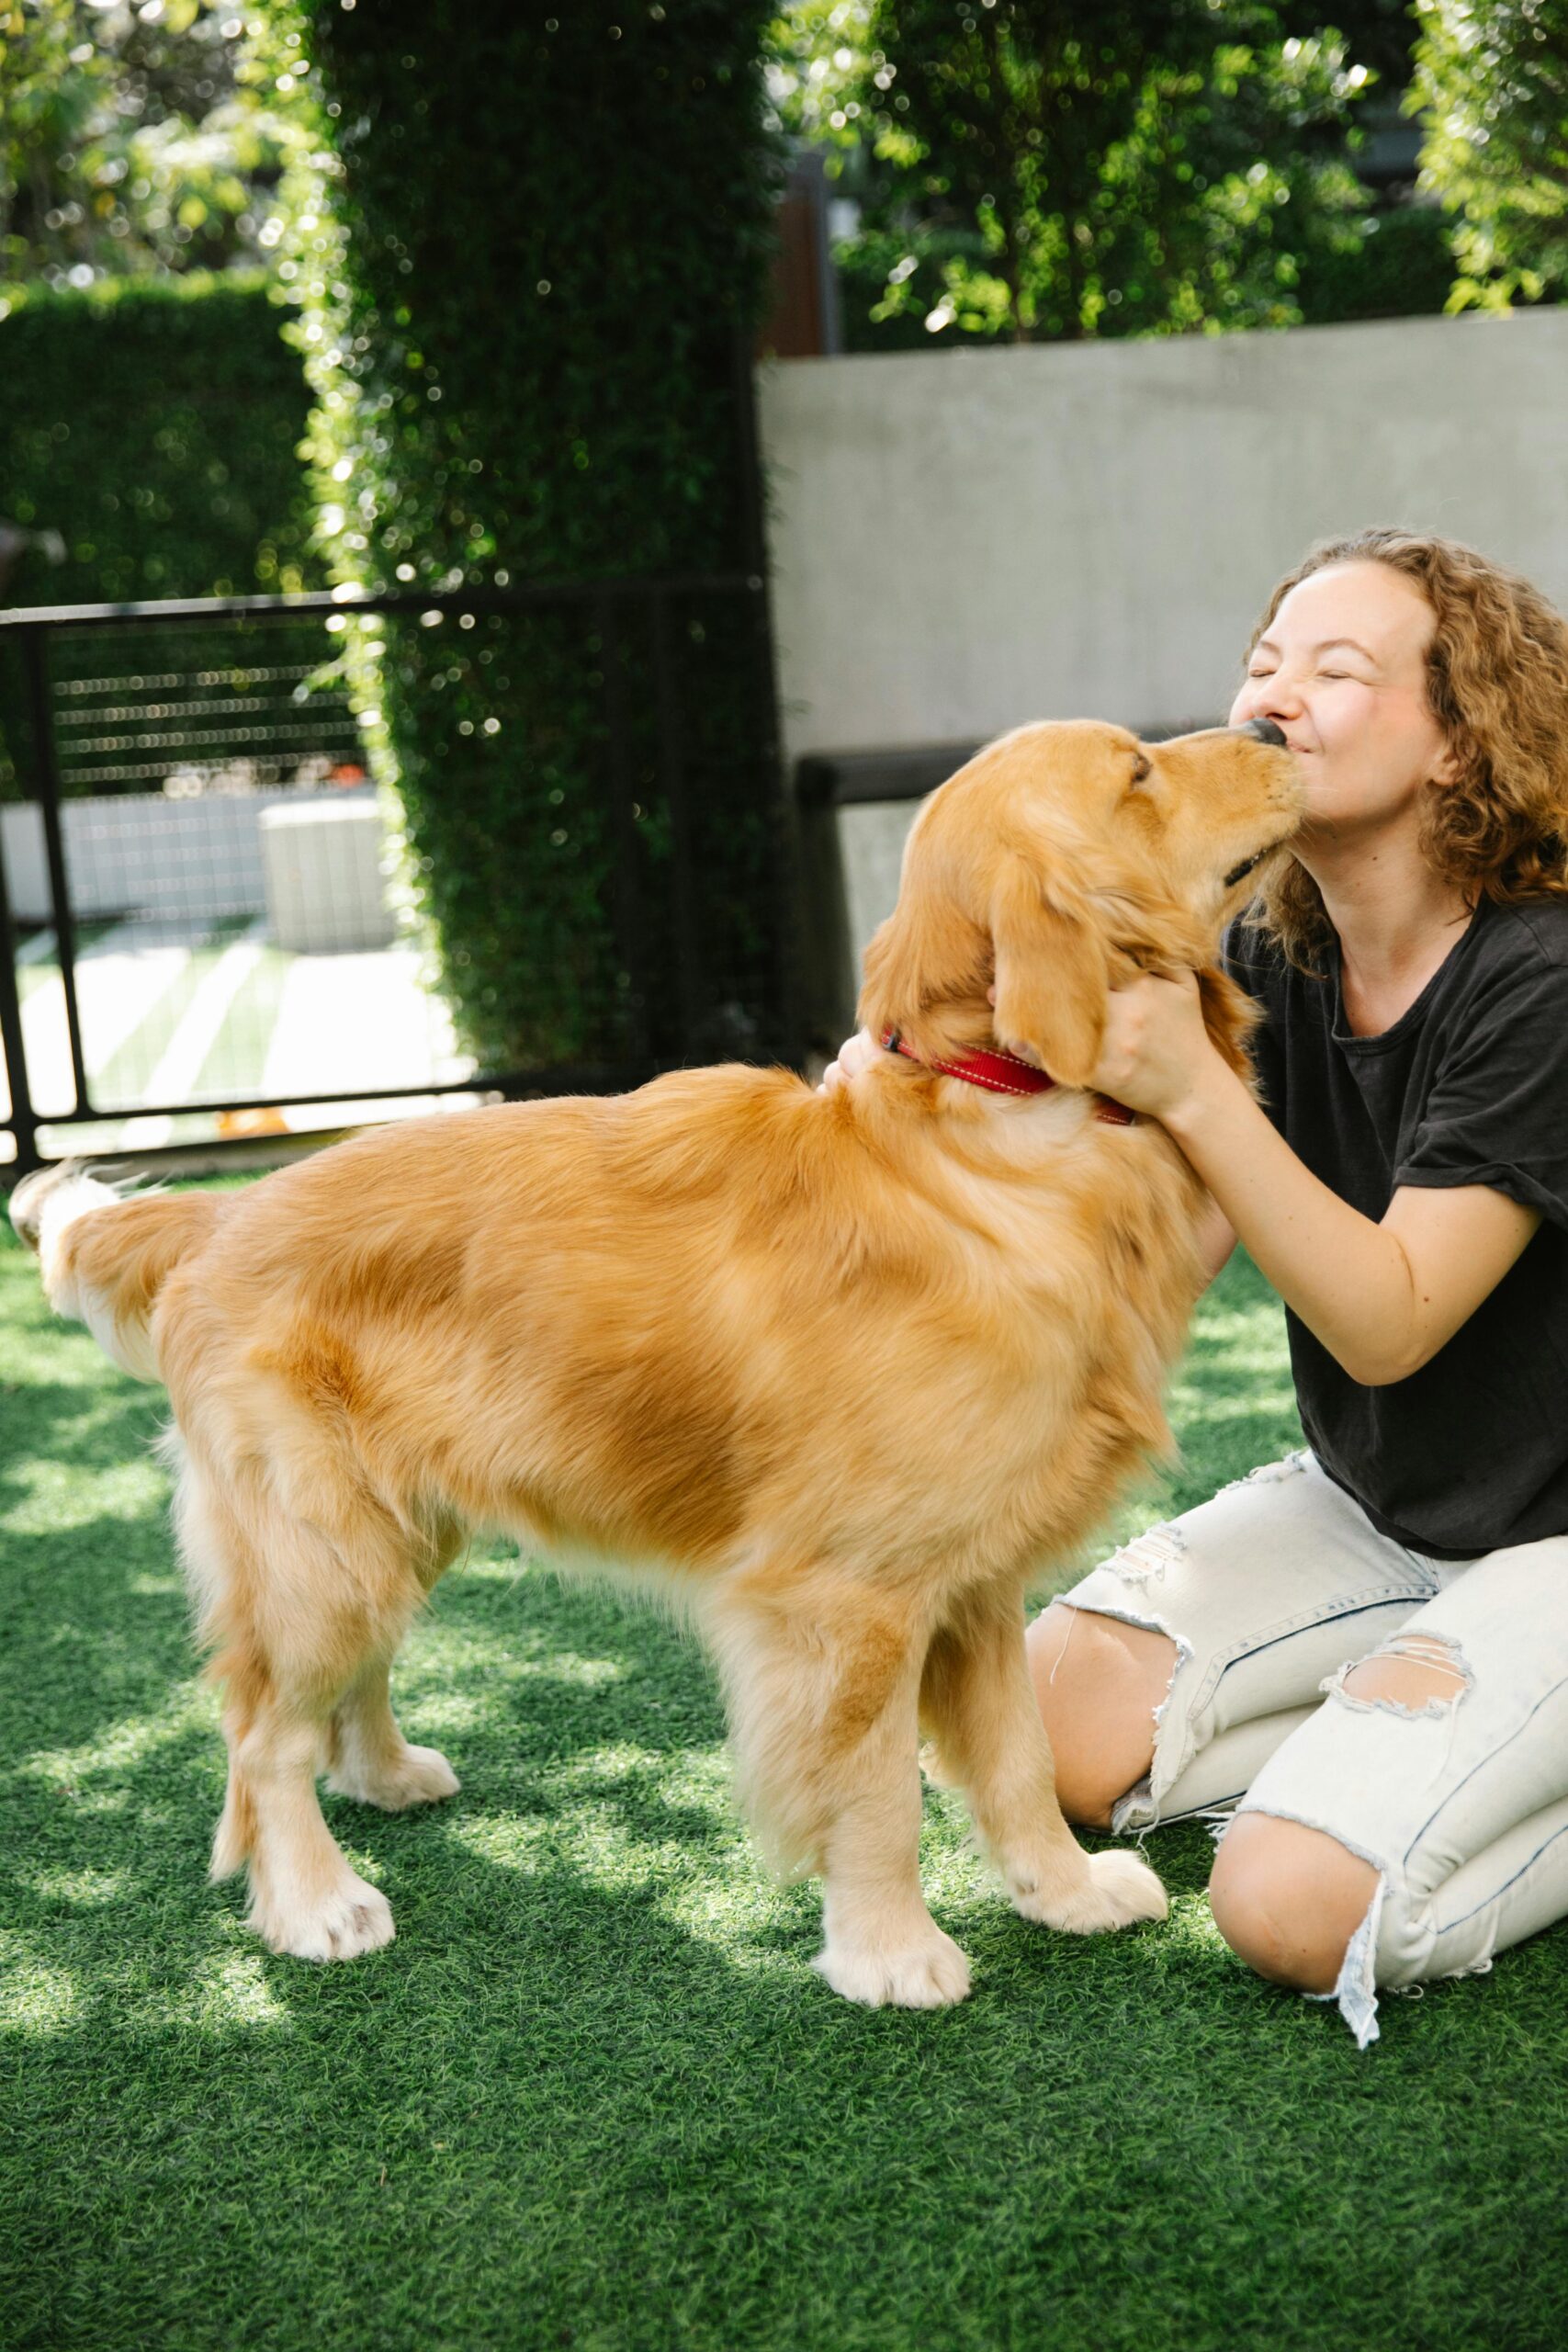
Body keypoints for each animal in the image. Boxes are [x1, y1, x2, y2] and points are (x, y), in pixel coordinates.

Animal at [8, 710, 1297, 2004]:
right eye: (1137, 771)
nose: (1271, 725)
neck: (988, 1140)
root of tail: (220, 1216)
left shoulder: (973, 1577)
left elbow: (1020, 1756)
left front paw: (1065, 1894)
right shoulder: (848, 1597)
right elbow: (875, 1787)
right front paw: (891, 1951)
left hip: (392, 1526)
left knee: (345, 1684)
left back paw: (385, 1775)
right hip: (321, 1547)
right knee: (262, 1735)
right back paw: (318, 1900)